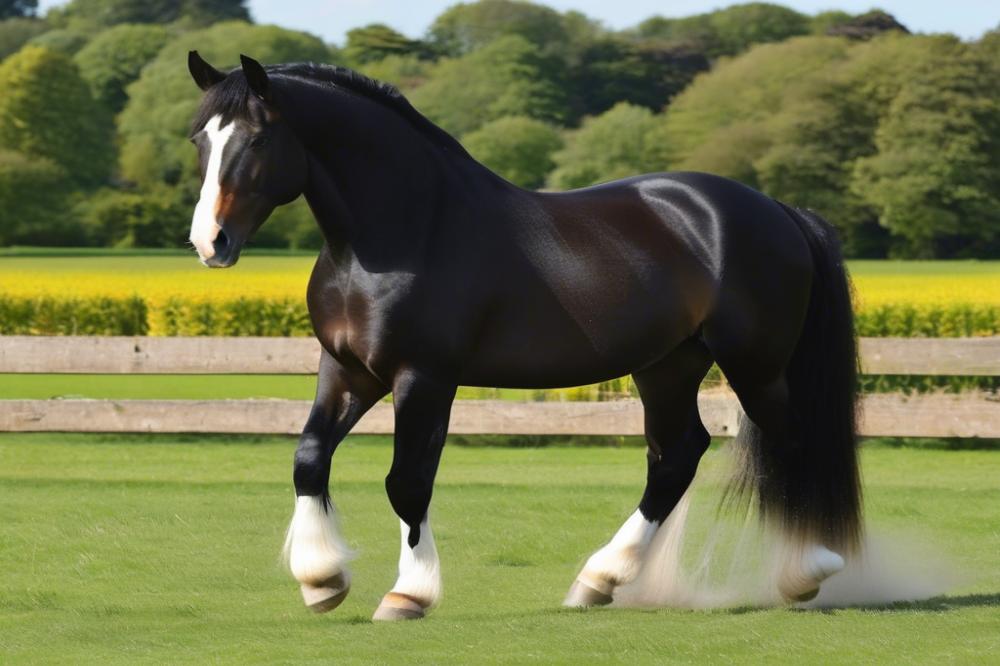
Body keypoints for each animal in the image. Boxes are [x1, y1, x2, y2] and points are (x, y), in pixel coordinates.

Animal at [186, 54, 860, 620]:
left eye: (257, 137)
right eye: (202, 139)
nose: (209, 241)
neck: (403, 232)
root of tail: (776, 210)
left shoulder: (424, 377)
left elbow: (407, 481)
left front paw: (408, 594)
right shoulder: (347, 370)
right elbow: (309, 458)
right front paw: (322, 579)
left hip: (756, 367)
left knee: (792, 443)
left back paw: (807, 571)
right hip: (667, 365)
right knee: (677, 456)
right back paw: (599, 580)